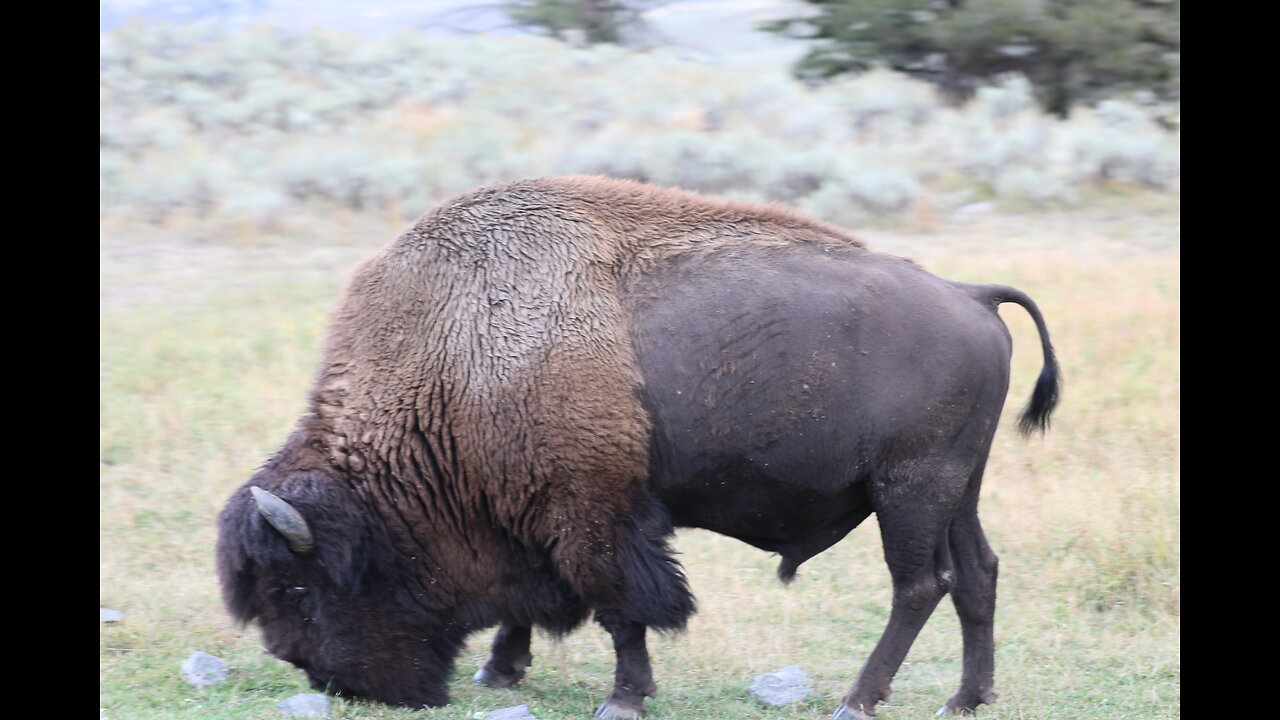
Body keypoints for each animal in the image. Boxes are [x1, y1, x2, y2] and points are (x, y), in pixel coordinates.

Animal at [220, 175, 1059, 717]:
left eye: (298, 589)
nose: (327, 681)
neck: (457, 355)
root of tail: (970, 296)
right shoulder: (534, 516)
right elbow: (535, 605)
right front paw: (502, 671)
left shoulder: (593, 516)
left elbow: (621, 608)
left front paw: (622, 699)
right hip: (957, 488)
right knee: (977, 575)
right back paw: (966, 699)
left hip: (908, 490)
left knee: (919, 586)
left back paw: (858, 700)